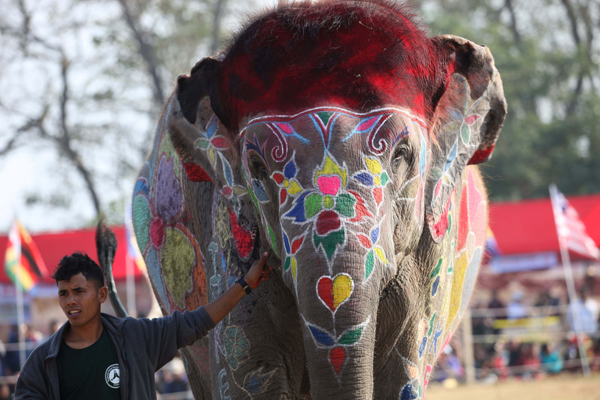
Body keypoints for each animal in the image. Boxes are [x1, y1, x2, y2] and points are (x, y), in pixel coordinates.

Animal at [130, 1, 506, 398]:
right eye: (258, 166)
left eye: (401, 154)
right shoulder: (226, 232)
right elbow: (247, 375)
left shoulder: (431, 260)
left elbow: (401, 375)